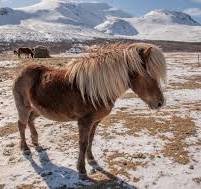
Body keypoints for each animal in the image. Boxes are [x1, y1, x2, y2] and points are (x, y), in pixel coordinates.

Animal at [12, 42, 166, 176]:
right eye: (148, 75)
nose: (160, 103)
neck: (95, 90)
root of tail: (21, 72)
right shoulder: (84, 121)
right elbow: (83, 143)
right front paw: (81, 169)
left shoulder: (95, 121)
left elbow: (90, 140)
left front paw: (91, 159)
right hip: (24, 107)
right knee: (21, 125)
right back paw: (25, 149)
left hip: (37, 109)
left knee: (30, 120)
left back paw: (36, 142)